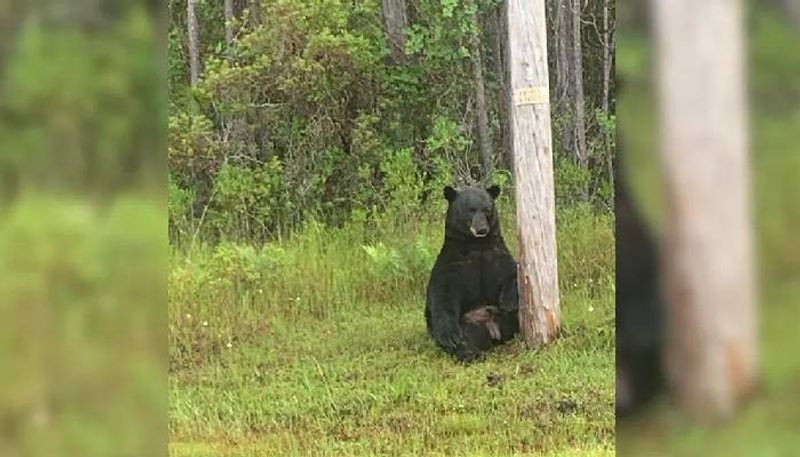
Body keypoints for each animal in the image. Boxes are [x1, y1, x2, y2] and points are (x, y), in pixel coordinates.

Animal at [424, 183, 520, 362]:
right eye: (471, 210)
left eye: (487, 209)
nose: (482, 229)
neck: (476, 245)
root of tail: (492, 330)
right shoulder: (452, 265)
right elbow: (443, 296)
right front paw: (450, 337)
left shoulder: (497, 255)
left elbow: (513, 272)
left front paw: (508, 302)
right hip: (468, 323)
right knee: (464, 338)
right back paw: (470, 353)